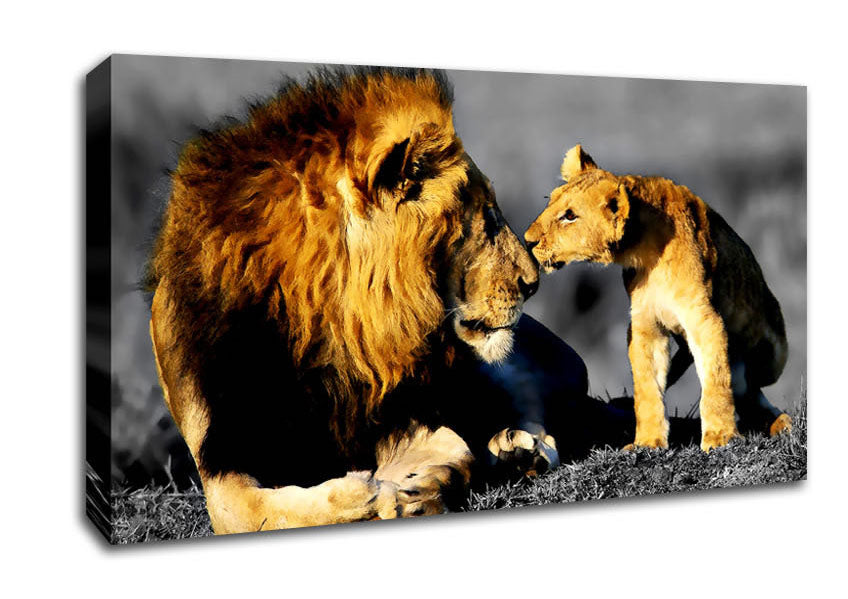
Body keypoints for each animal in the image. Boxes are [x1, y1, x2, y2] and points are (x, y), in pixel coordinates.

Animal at [146, 67, 588, 534]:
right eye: (487, 217)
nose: (532, 282)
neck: (323, 326)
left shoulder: (406, 413)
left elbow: (450, 448)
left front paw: (415, 486)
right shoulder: (221, 454)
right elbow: (250, 511)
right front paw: (362, 498)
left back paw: (520, 449)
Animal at [524, 144, 791, 452]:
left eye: (569, 216)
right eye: (550, 201)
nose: (527, 240)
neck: (644, 250)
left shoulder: (704, 319)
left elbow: (716, 381)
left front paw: (720, 437)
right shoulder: (644, 324)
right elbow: (647, 388)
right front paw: (648, 442)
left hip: (772, 354)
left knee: (750, 385)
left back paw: (780, 422)